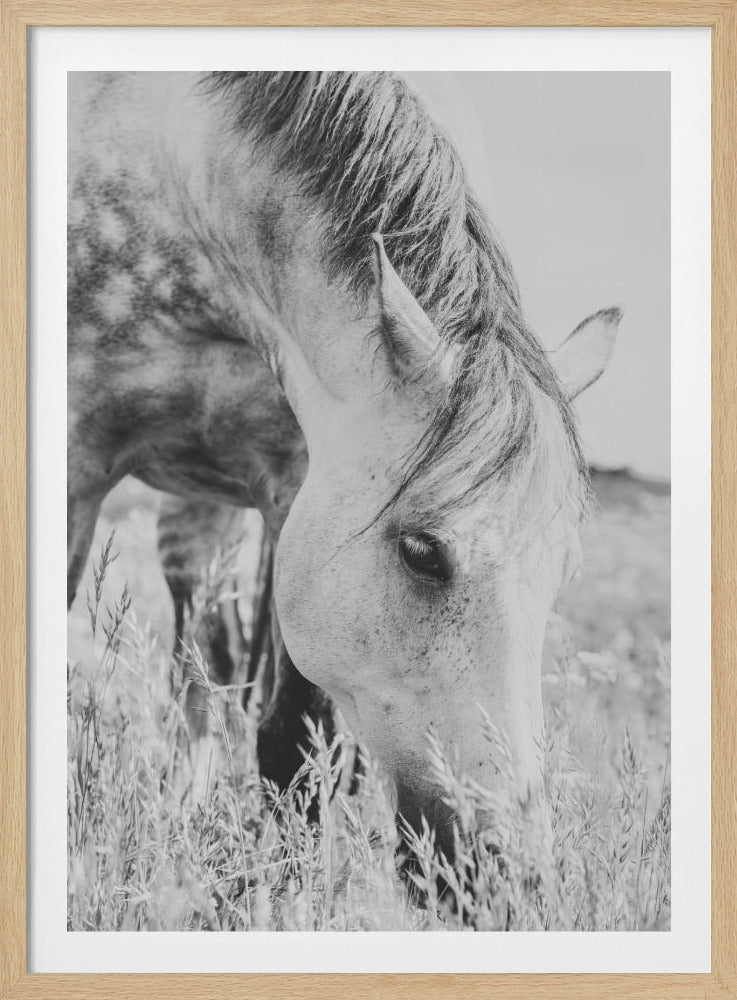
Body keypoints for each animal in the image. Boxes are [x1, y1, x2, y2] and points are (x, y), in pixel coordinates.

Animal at [67, 71, 619, 858]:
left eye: (562, 572)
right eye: (421, 551)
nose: (509, 867)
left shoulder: (296, 484)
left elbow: (293, 745)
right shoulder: (75, 461)